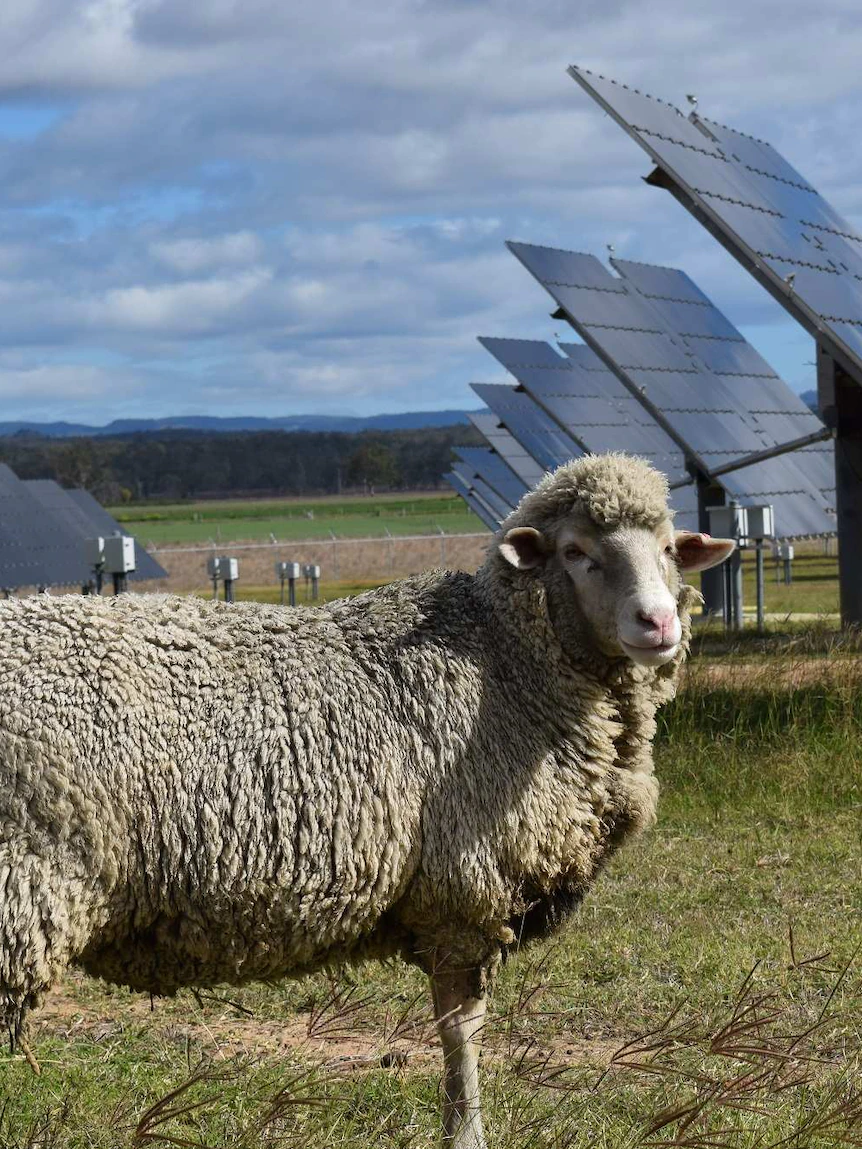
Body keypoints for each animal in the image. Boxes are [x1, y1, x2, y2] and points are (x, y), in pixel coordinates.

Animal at [1, 452, 735, 1144]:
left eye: (669, 549)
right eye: (576, 552)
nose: (657, 622)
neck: (506, 661)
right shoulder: (463, 890)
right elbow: (461, 1028)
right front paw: (466, 1132)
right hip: (23, 887)